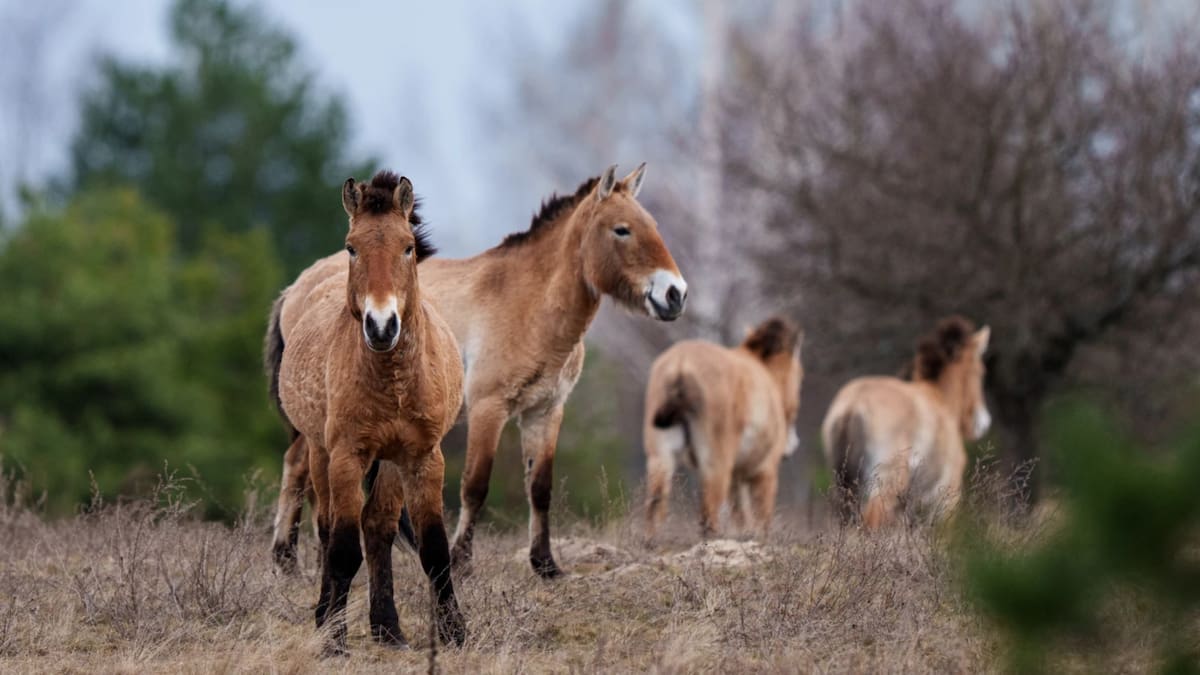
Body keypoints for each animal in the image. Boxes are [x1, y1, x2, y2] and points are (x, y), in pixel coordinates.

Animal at [269, 163, 688, 578]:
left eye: (651, 224)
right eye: (622, 229)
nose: (675, 294)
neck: (527, 303)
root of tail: (297, 287)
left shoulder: (545, 410)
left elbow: (540, 487)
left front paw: (545, 564)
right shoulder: (489, 407)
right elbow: (475, 485)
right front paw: (461, 560)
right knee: (299, 466)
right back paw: (289, 561)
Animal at [269, 171, 465, 654]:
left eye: (408, 246)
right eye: (352, 247)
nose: (381, 326)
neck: (392, 379)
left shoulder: (423, 457)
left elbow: (434, 549)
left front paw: (454, 632)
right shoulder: (346, 456)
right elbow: (342, 547)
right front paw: (334, 639)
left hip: (390, 463)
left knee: (377, 527)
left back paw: (388, 629)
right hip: (320, 452)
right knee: (326, 527)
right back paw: (327, 617)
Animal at [643, 317, 804, 540]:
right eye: (801, 375)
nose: (794, 444)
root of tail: (680, 364)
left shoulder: (737, 476)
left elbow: (740, 514)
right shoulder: (765, 469)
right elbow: (761, 517)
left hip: (660, 457)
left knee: (655, 503)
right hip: (716, 464)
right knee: (708, 515)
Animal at [821, 316, 991, 528]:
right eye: (980, 371)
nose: (982, 422)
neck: (939, 398)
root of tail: (853, 405)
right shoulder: (946, 499)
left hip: (845, 486)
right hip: (885, 484)